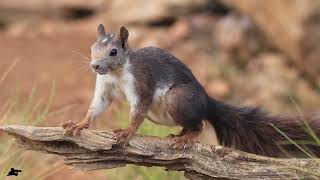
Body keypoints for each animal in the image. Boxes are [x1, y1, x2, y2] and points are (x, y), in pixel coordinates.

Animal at [60, 24, 320, 158]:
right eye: (92, 47)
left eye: (113, 52)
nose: (94, 66)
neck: (115, 73)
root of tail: (207, 101)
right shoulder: (103, 89)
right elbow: (96, 107)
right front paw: (79, 124)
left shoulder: (141, 84)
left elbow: (138, 111)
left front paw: (127, 132)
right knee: (192, 124)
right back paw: (178, 135)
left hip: (177, 98)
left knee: (200, 125)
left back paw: (185, 139)